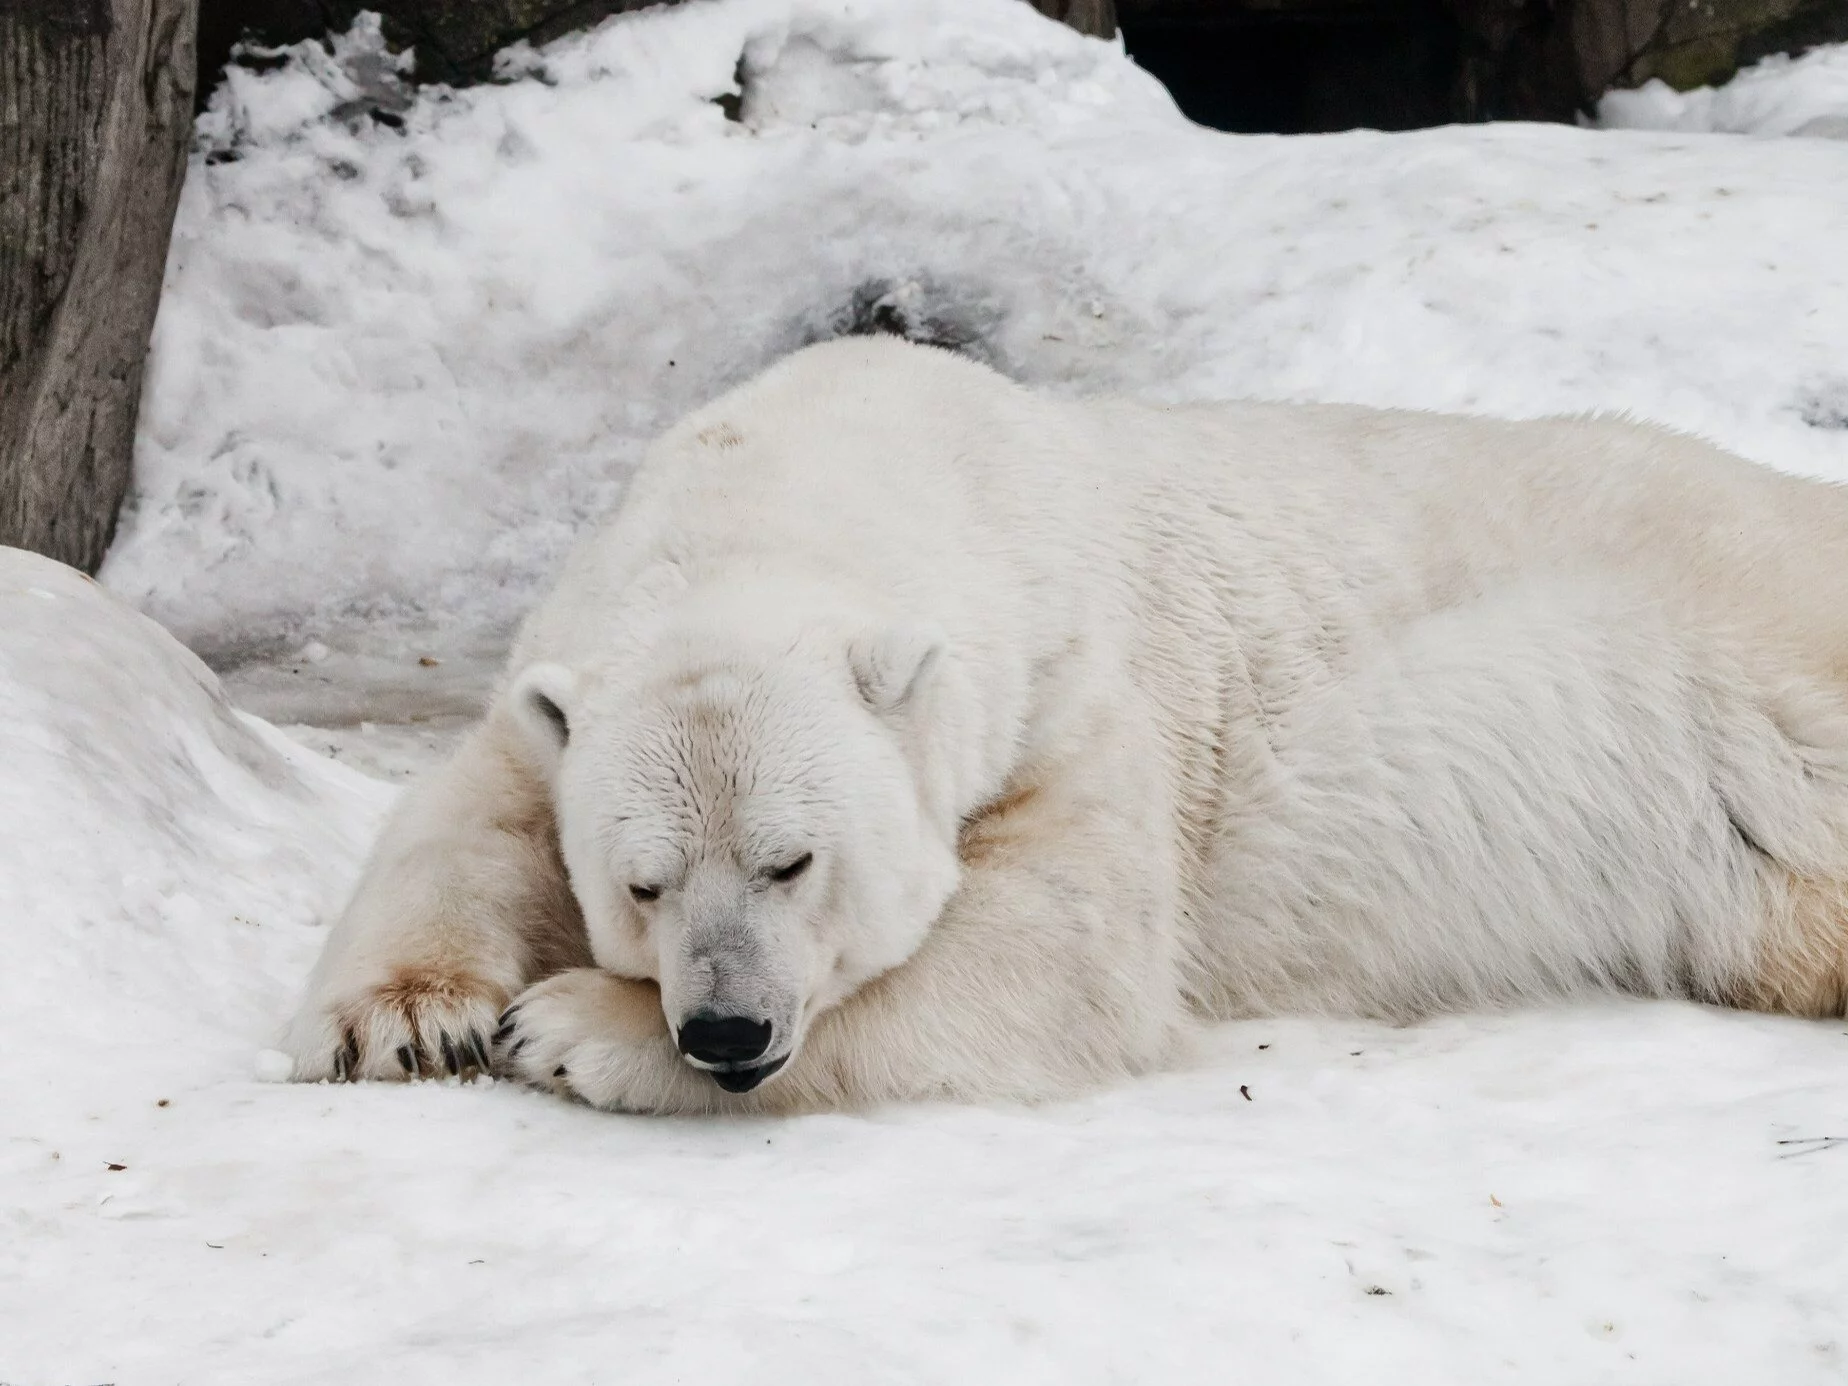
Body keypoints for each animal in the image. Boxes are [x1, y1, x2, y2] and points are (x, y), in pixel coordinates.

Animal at [280, 336, 1848, 1116]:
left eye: (796, 860)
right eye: (644, 881)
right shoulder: (576, 648)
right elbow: (477, 795)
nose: (725, 1031)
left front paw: (564, 1027)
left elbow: (1058, 949)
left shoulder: (1073, 679)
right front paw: (403, 1018)